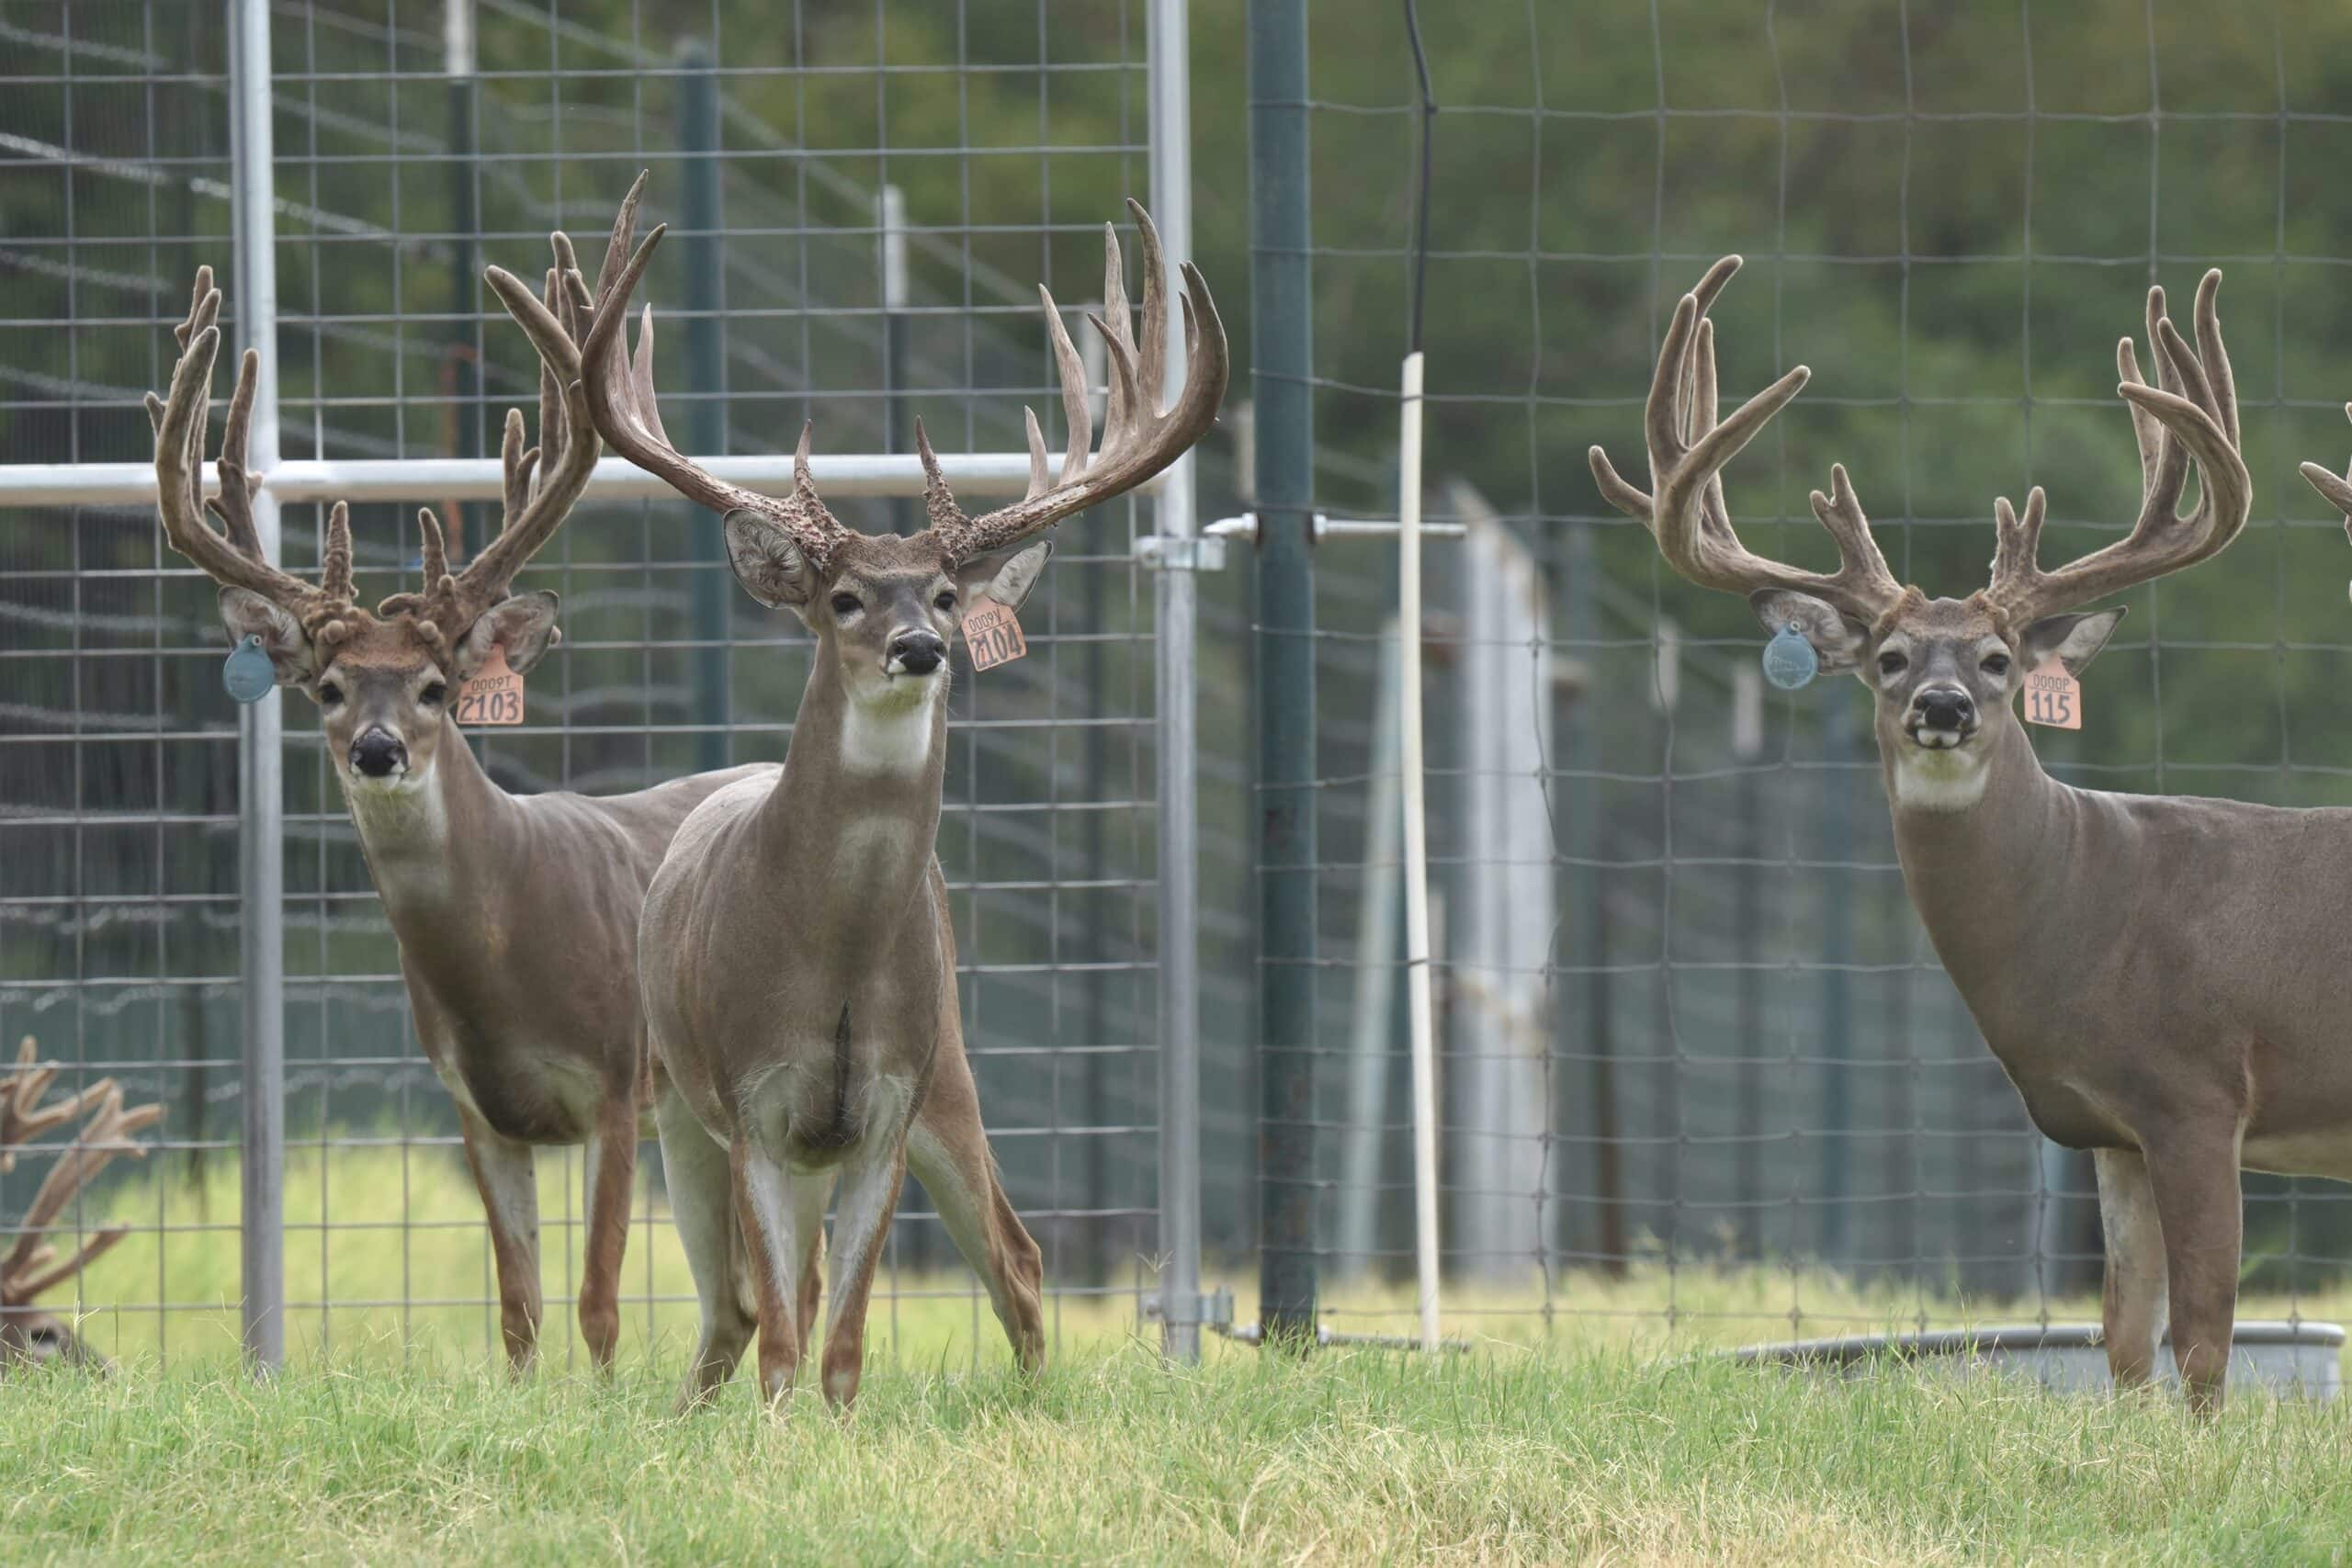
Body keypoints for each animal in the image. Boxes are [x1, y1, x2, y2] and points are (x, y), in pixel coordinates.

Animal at [146, 245, 777, 1375]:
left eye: (437, 687)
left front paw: (600, 1403)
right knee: (742, 1292)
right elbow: (519, 1307)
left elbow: (598, 1303)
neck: (503, 956)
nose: (378, 749)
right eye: (328, 688)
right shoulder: (473, 1107)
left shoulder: (616, 1079)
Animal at [550, 176, 1226, 1410]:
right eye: (845, 598)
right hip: (676, 1105)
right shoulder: (757, 1105)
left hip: (949, 1074)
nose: (922, 647)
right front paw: (779, 1433)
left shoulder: (887, 1105)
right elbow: (783, 1336)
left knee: (1014, 1255)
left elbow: (846, 1342)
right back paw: (686, 1413)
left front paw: (841, 1424)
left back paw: (1032, 1395)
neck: (834, 959)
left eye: (949, 593)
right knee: (733, 1309)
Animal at [1581, 256, 2343, 1415]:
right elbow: (2123, 1340)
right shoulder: (2107, 1125)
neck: (2092, 905)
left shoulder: (2201, 1091)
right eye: (1887, 658)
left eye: (1996, 659)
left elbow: (2206, 1339)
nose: (1940, 706)